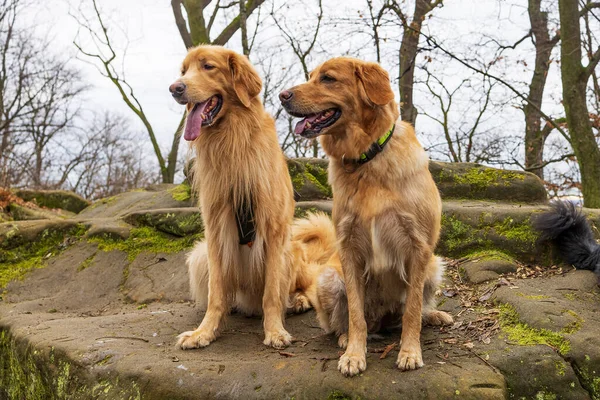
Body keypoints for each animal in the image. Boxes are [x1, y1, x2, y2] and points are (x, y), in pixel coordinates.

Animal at [169, 45, 296, 348]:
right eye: (184, 70)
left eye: (208, 66)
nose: (175, 88)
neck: (232, 138)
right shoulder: (215, 226)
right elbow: (216, 291)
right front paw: (205, 332)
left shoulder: (274, 228)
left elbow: (272, 293)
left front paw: (274, 331)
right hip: (200, 255)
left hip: (290, 251)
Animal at [278, 57, 452, 376]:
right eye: (311, 76)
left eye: (328, 78)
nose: (282, 95)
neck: (367, 159)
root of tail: (381, 321)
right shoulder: (349, 250)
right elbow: (355, 314)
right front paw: (354, 354)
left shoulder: (419, 247)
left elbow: (412, 311)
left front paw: (410, 351)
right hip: (329, 279)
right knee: (342, 323)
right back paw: (345, 338)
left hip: (434, 265)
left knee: (414, 310)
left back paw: (433, 316)